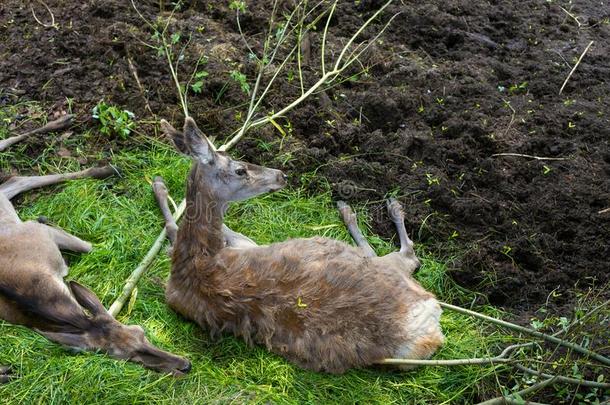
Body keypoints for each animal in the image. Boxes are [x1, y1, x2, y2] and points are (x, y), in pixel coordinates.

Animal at [0, 144, 190, 380]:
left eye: (141, 331)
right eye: (127, 357)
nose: (185, 365)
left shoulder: (38, 232)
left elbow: (86, 246)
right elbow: (88, 246)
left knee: (15, 180)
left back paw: (109, 170)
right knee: (13, 182)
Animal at [154, 118, 444, 374]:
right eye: (240, 169)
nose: (280, 175)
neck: (196, 259)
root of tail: (427, 337)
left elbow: (173, 229)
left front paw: (158, 185)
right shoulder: (244, 243)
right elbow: (178, 229)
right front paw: (159, 185)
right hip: (385, 269)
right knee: (403, 255)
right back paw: (370, 207)